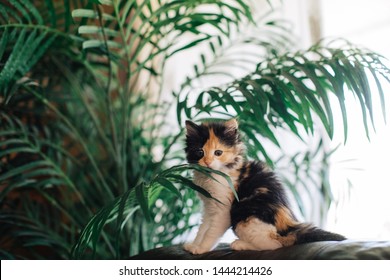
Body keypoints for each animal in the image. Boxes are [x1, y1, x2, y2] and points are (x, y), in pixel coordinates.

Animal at [183, 119, 344, 255]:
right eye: (200, 152)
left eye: (218, 153)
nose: (208, 162)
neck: (211, 176)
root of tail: (288, 226)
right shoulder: (209, 207)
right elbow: (203, 228)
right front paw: (194, 245)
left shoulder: (222, 210)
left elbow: (211, 232)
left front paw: (202, 248)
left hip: (245, 218)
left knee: (273, 244)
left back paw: (240, 244)